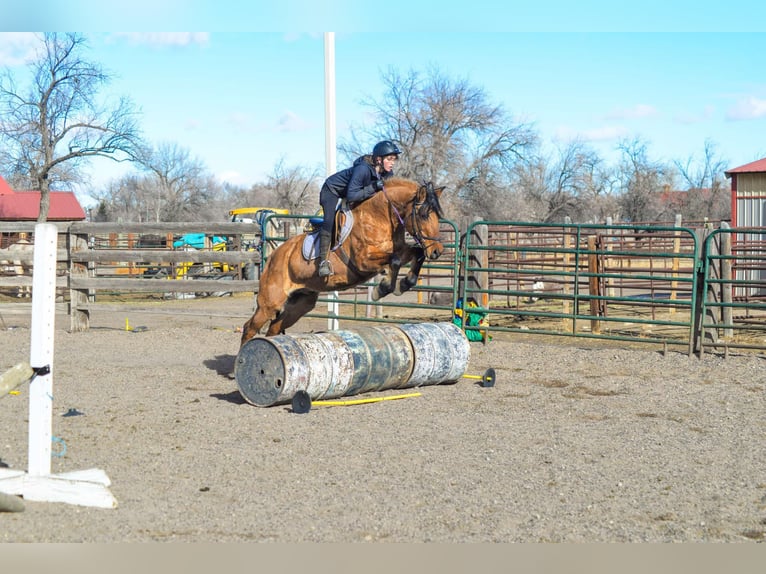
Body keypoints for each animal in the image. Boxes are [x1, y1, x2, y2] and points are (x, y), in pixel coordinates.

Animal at [238, 178, 444, 344]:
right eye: (424, 215)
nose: (437, 251)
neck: (378, 218)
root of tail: (274, 256)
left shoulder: (401, 250)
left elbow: (417, 253)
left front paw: (404, 284)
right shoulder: (363, 261)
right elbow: (393, 261)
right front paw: (381, 289)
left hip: (301, 303)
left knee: (274, 327)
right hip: (270, 302)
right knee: (250, 328)